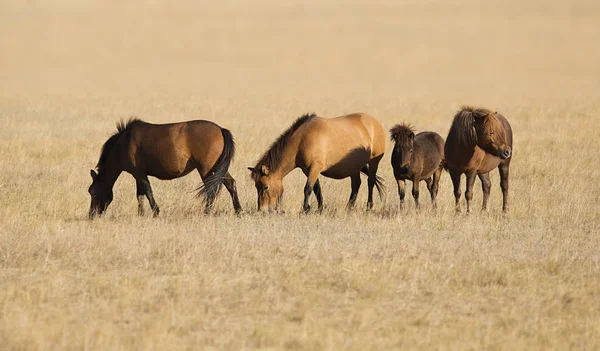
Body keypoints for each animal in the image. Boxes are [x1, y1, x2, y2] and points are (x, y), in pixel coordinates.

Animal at [87, 118, 241, 219]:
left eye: (92, 192)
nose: (91, 215)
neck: (123, 144)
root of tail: (220, 130)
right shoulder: (138, 175)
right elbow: (140, 195)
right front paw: (141, 214)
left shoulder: (139, 173)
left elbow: (147, 192)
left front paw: (156, 212)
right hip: (218, 167)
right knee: (230, 184)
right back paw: (238, 211)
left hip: (206, 169)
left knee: (211, 190)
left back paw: (207, 212)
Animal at [247, 113, 384, 213]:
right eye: (256, 186)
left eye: (265, 187)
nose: (262, 210)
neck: (302, 140)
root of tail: (375, 123)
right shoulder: (308, 170)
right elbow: (317, 189)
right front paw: (320, 208)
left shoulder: (315, 168)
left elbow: (308, 188)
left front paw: (305, 209)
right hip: (353, 167)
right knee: (356, 184)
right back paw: (349, 207)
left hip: (374, 162)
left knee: (370, 182)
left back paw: (369, 206)